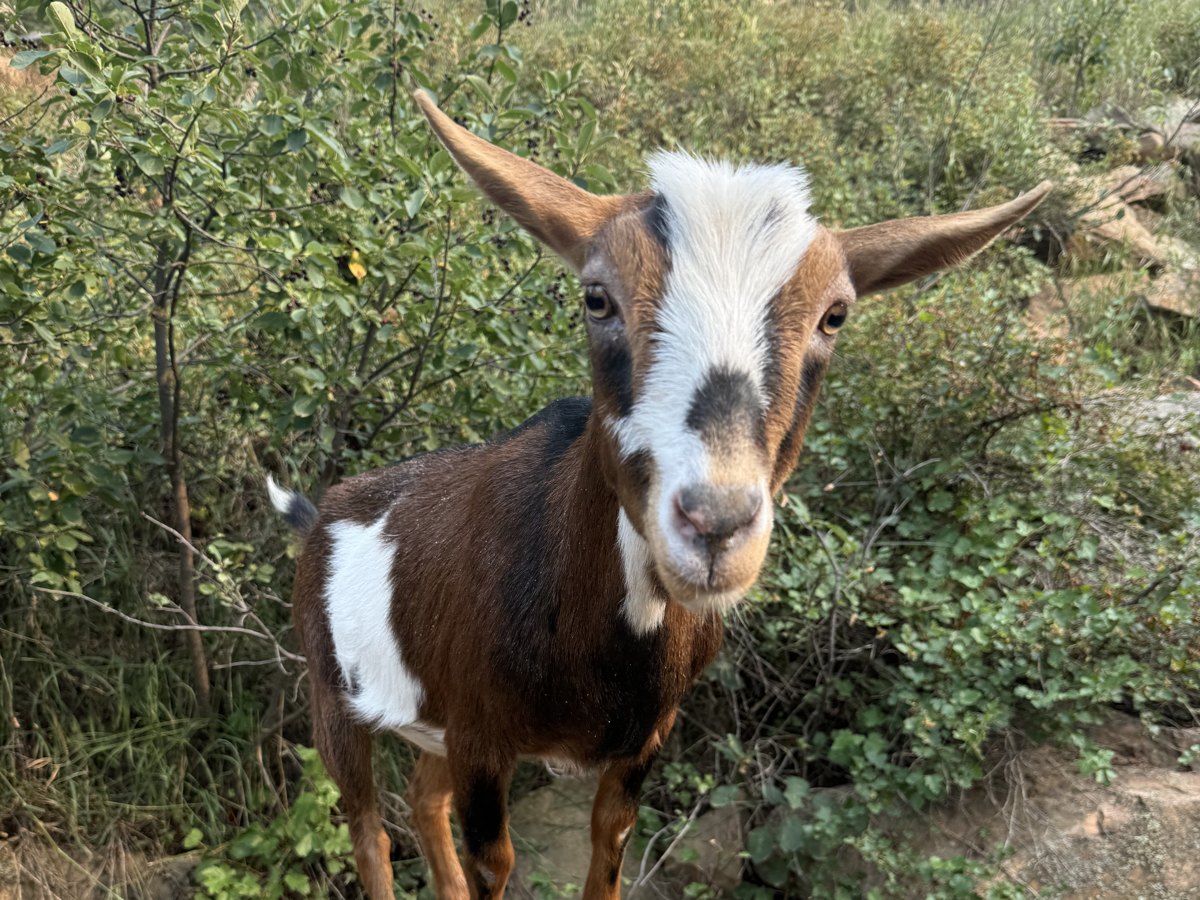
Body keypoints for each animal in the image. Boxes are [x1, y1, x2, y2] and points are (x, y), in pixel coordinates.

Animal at [268, 90, 1050, 899]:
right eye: (596, 297)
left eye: (836, 314)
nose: (715, 524)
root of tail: (322, 512)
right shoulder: (484, 739)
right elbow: (496, 861)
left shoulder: (641, 742)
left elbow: (609, 844)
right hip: (330, 693)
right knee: (368, 830)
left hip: (430, 724)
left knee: (423, 799)